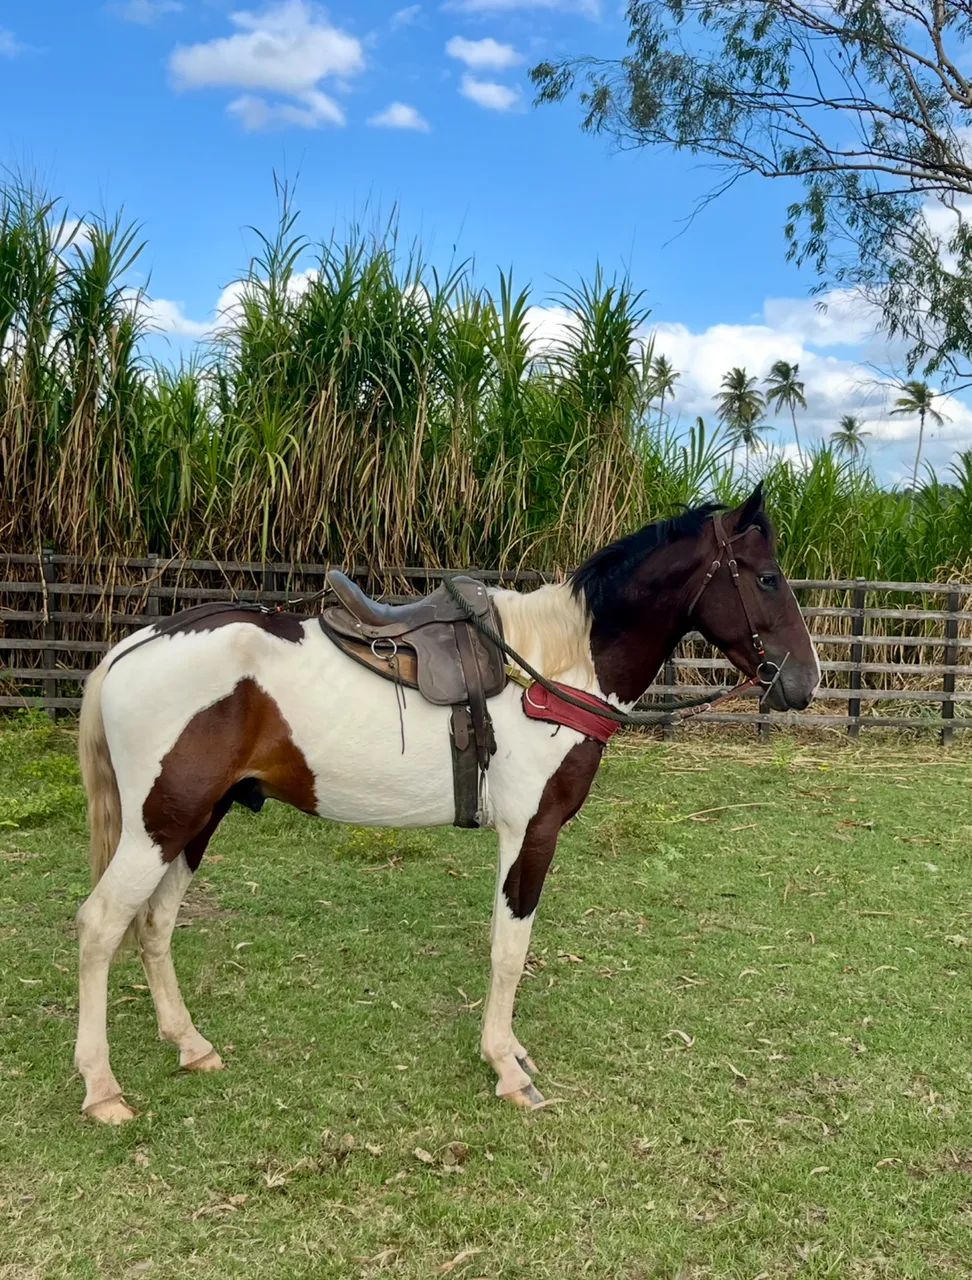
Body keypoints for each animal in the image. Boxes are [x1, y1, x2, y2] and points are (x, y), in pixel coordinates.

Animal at [73, 486, 820, 1122]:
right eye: (766, 578)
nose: (806, 683)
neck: (551, 671)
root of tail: (135, 646)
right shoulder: (531, 832)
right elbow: (510, 949)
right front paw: (506, 1068)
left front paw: (508, 1051)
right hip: (160, 825)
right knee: (102, 926)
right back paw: (102, 1088)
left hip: (196, 821)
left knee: (155, 924)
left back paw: (190, 1045)